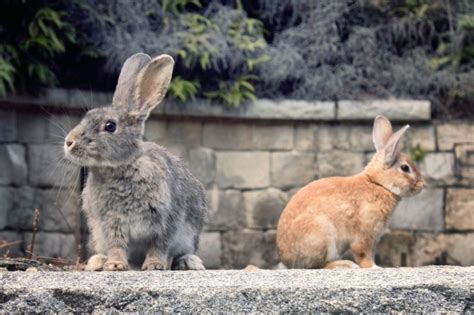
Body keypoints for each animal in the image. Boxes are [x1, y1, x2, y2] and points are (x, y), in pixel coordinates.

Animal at [63, 53, 206, 272]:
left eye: (110, 126)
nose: (69, 142)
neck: (123, 167)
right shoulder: (111, 222)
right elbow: (117, 245)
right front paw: (114, 265)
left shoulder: (167, 219)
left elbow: (159, 245)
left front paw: (154, 265)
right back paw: (98, 261)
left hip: (190, 236)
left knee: (180, 253)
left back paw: (189, 262)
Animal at [276, 116, 424, 270]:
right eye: (405, 168)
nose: (422, 184)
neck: (378, 184)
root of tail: (287, 260)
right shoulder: (365, 234)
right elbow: (363, 254)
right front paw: (374, 267)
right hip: (321, 236)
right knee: (318, 265)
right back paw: (346, 264)